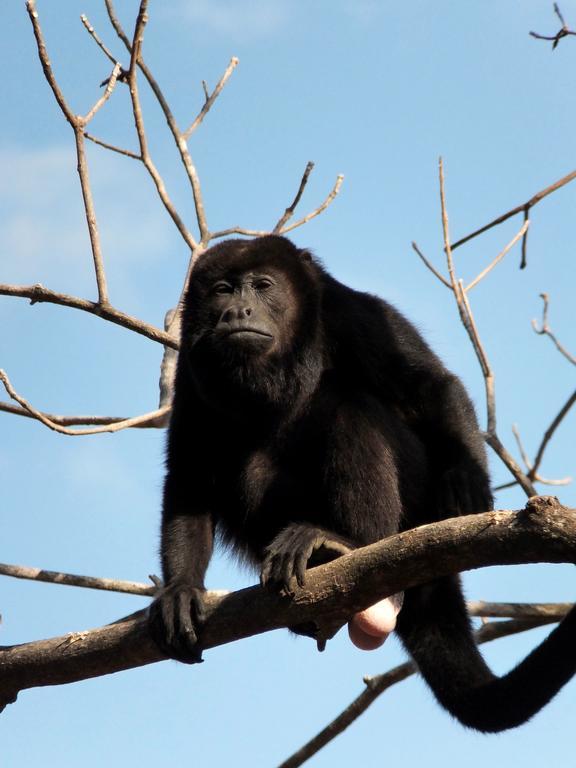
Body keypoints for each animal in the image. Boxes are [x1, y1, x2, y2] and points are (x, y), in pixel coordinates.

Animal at [150, 234, 576, 732]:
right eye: (222, 290)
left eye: (262, 285)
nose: (238, 311)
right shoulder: (191, 365)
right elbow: (189, 476)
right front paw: (180, 590)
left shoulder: (352, 313)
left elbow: (431, 386)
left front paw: (467, 478)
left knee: (350, 408)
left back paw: (345, 543)